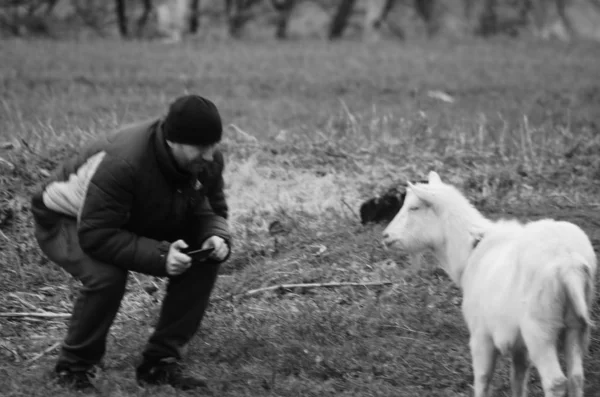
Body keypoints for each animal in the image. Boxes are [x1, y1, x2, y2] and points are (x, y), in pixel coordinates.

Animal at [382, 170, 596, 396]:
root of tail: (569, 263)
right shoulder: (518, 344)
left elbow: (483, 379)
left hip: (539, 328)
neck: (470, 250)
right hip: (575, 326)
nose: (385, 236)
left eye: (414, 207)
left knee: (555, 381)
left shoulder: (481, 335)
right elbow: (518, 378)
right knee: (576, 377)